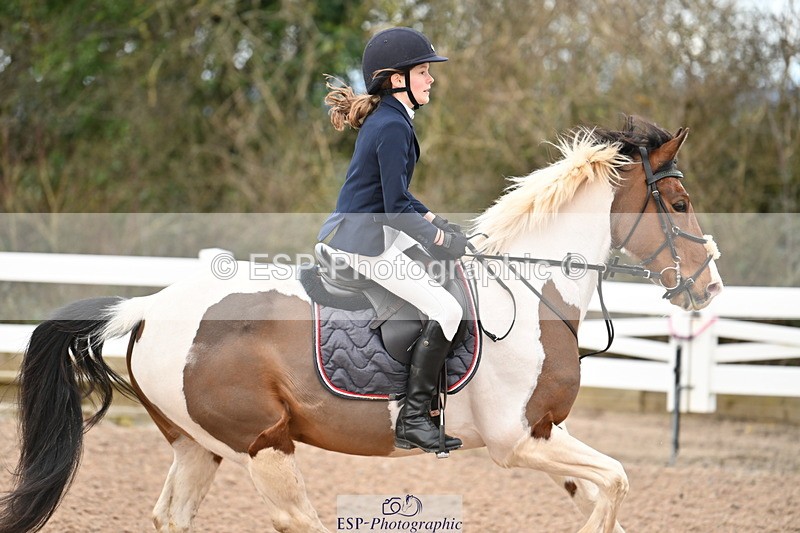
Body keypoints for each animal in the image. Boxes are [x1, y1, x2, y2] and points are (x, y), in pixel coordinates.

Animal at [0, 116, 722, 533]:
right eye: (679, 201)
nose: (710, 285)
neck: (531, 285)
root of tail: (147, 307)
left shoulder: (548, 431)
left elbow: (606, 490)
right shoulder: (517, 439)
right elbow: (616, 483)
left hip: (196, 446)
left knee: (172, 514)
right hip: (262, 444)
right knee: (296, 519)